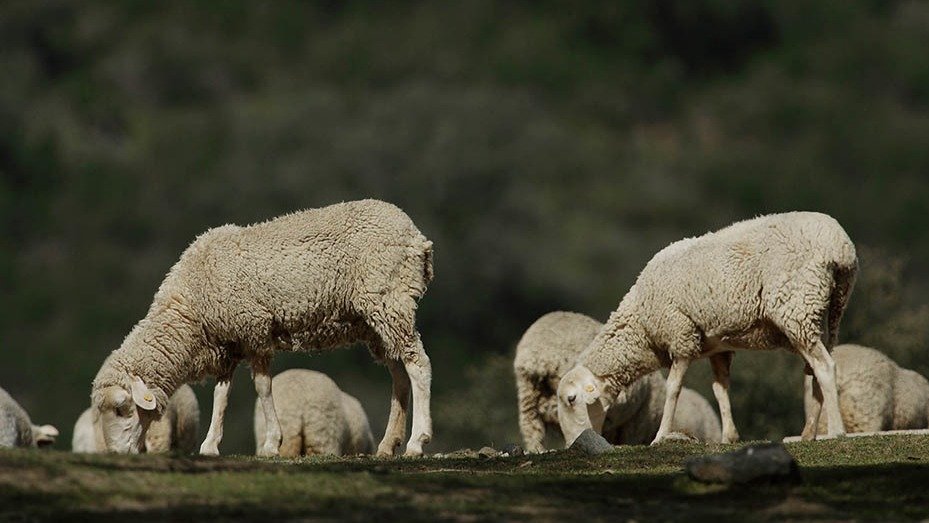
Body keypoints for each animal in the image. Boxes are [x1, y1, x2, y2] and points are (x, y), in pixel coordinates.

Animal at [90, 201, 432, 458]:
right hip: (376, 321)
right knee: (400, 377)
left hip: (391, 300)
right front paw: (210, 444)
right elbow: (222, 394)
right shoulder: (229, 343)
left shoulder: (253, 330)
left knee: (418, 365)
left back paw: (417, 442)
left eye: (121, 409)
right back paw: (388, 445)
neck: (191, 308)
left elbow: (263, 387)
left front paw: (271, 443)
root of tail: (415, 236)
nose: (116, 454)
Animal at [560, 211, 856, 448]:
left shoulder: (680, 335)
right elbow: (720, 389)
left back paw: (836, 432)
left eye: (571, 399)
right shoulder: (717, 348)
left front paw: (660, 436)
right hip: (827, 313)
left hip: (797, 306)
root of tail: (840, 246)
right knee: (816, 370)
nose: (573, 445)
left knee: (825, 367)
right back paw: (808, 434)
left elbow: (673, 388)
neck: (641, 327)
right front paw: (729, 437)